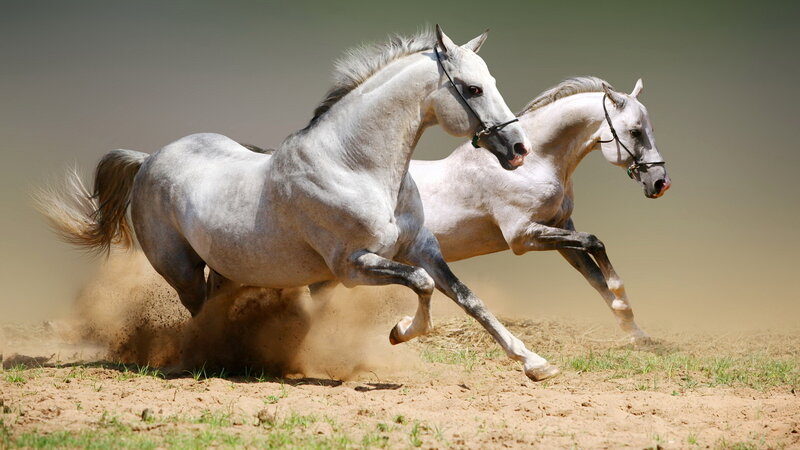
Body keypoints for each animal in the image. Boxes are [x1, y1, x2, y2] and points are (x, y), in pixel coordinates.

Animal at [38, 26, 562, 381]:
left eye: (490, 81)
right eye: (472, 88)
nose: (518, 149)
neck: (355, 166)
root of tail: (148, 159)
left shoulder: (421, 248)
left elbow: (468, 298)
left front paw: (535, 363)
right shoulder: (352, 266)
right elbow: (423, 285)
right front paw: (399, 331)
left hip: (227, 268)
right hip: (180, 268)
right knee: (198, 312)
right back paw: (206, 359)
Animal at [409, 76, 670, 343]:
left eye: (650, 130)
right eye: (635, 132)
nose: (661, 183)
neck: (532, 165)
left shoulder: (560, 228)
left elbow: (595, 276)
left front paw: (636, 332)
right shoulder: (522, 236)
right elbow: (594, 242)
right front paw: (622, 300)